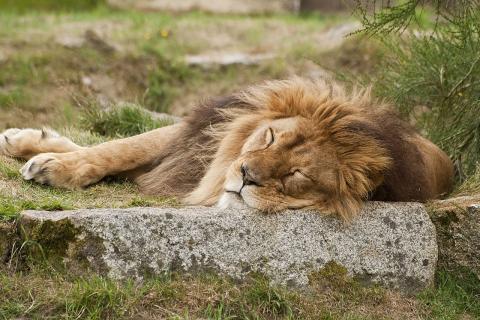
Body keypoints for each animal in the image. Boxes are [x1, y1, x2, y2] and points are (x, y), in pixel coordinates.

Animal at [0, 79, 454, 221]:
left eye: (296, 175)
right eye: (270, 138)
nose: (246, 175)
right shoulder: (198, 139)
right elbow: (120, 147)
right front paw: (52, 164)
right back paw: (24, 140)